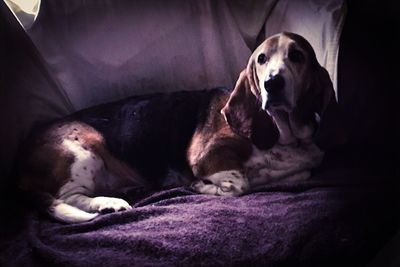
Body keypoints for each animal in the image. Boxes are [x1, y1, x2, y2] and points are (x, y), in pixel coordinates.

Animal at [17, 33, 340, 224]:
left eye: (297, 56)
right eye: (261, 59)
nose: (272, 83)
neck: (285, 139)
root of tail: (21, 161)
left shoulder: (301, 167)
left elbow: (298, 173)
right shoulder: (207, 157)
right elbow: (238, 184)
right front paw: (201, 186)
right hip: (82, 152)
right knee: (67, 197)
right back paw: (109, 204)